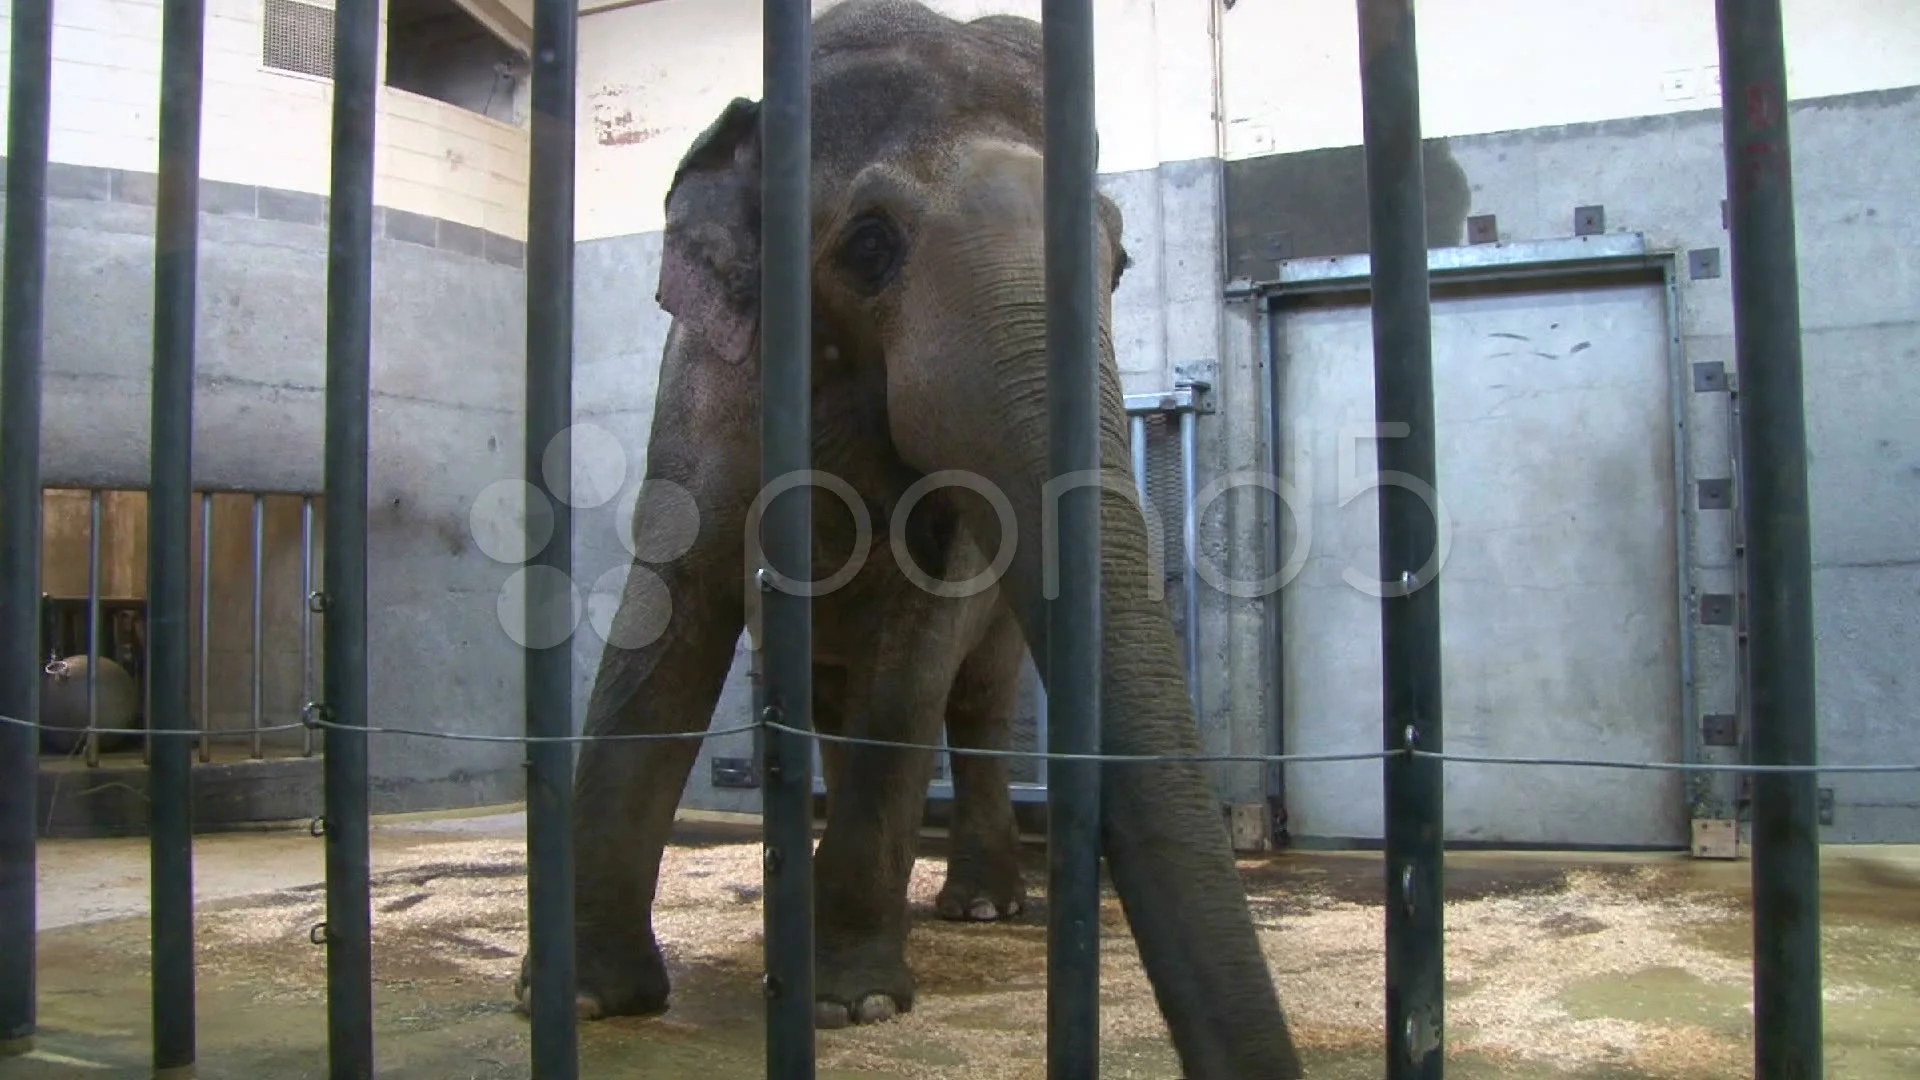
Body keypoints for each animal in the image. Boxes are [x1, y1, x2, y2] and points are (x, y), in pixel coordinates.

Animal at [514, 4, 1305, 1068]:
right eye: (868, 246)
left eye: (1120, 264)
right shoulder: (700, 397)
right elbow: (663, 626)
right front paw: (584, 999)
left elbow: (914, 650)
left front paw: (854, 1007)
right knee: (835, 701)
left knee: (971, 703)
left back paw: (981, 908)